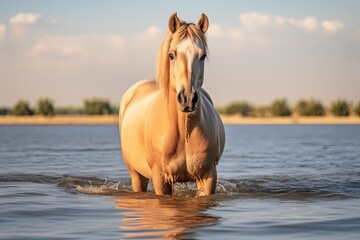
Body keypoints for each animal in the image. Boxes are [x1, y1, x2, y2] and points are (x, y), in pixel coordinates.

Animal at [119, 12, 224, 195]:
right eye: (171, 55)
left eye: (203, 56)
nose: (187, 98)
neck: (183, 131)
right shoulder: (161, 178)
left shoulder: (208, 177)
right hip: (136, 175)